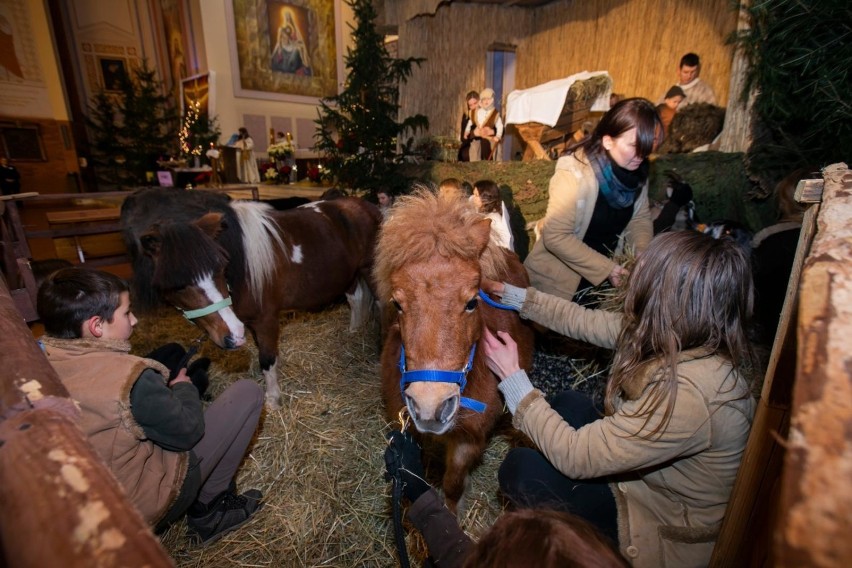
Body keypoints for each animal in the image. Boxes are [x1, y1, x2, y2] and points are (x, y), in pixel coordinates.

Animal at [120, 189, 380, 406]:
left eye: (220, 267)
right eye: (178, 285)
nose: (233, 335)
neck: (241, 266)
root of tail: (368, 207)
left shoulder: (266, 320)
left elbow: (267, 358)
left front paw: (272, 400)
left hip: (369, 272)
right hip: (348, 276)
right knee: (356, 300)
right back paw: (353, 332)